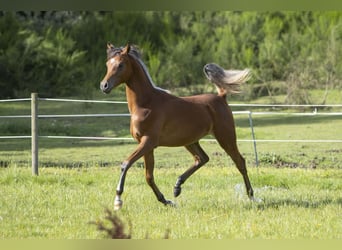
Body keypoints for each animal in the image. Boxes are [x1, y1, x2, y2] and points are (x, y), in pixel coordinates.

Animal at [99, 44, 254, 210]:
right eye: (107, 64)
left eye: (121, 65)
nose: (104, 86)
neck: (146, 104)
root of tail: (221, 97)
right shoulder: (146, 145)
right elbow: (149, 176)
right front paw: (166, 201)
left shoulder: (148, 142)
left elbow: (126, 164)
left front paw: (118, 200)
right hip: (190, 141)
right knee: (202, 158)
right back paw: (177, 187)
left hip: (225, 137)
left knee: (240, 162)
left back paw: (252, 196)